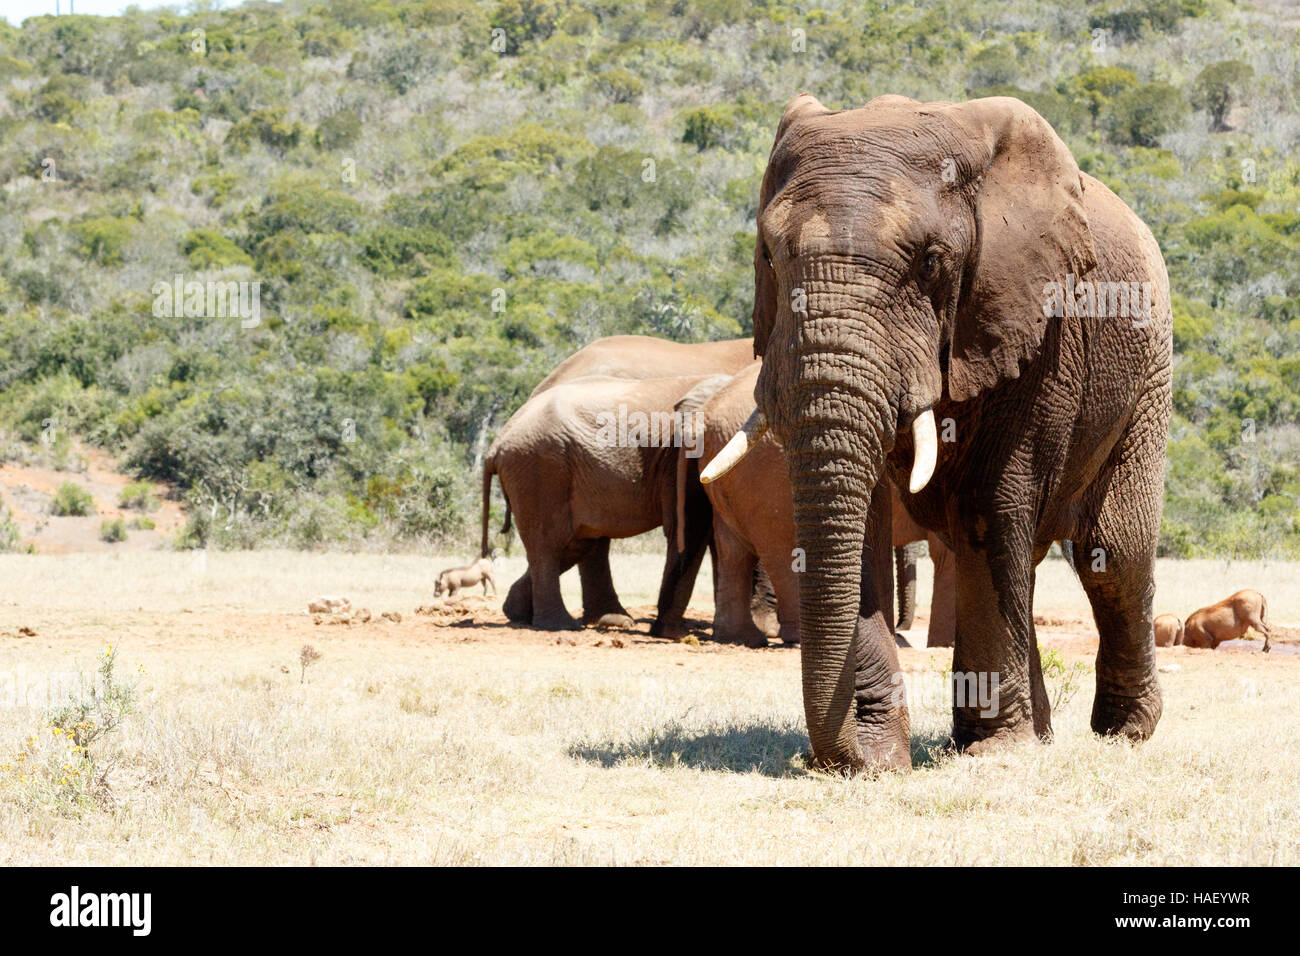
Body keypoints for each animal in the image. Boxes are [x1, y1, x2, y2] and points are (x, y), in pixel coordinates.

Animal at [707, 93, 1175, 775]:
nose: (838, 762)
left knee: (1112, 551)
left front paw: (993, 752)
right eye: (769, 255)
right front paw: (881, 758)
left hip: (1150, 367)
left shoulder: (1037, 326)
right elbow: (869, 520)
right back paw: (1040, 735)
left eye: (930, 262)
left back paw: (1122, 733)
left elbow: (989, 504)